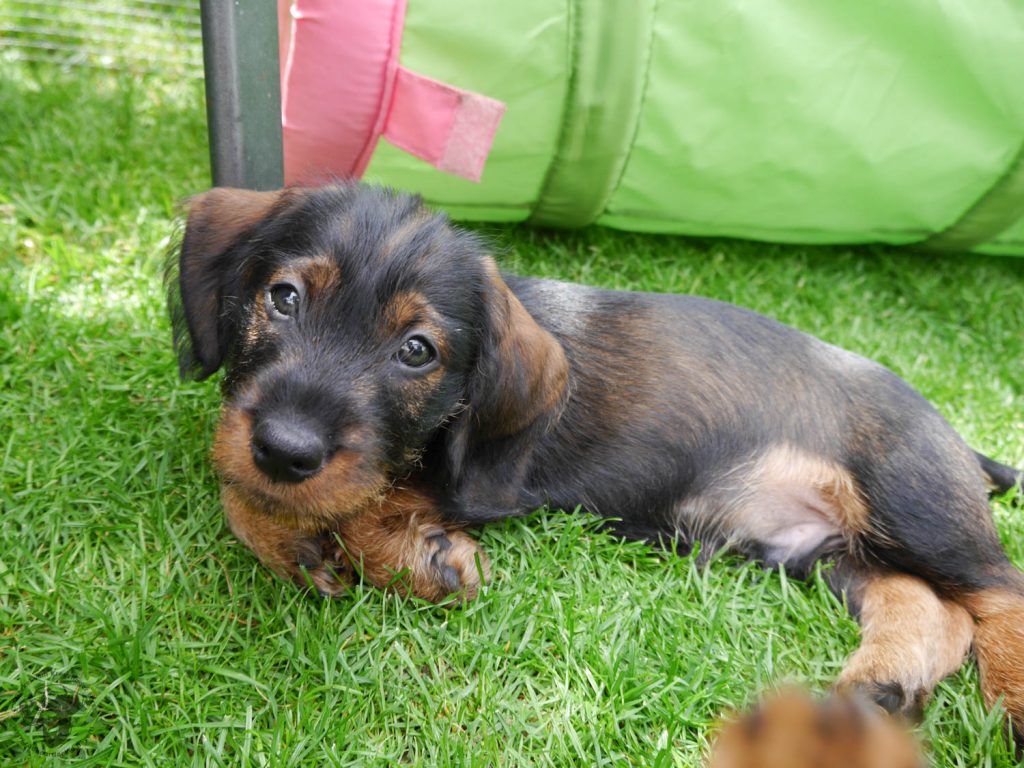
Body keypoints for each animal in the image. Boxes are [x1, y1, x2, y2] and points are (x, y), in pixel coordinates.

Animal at [169, 183, 1024, 749]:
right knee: (930, 606)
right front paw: (292, 533)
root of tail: (954, 438)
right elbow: (237, 483)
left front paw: (417, 557)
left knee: (999, 591)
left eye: (417, 351)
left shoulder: (477, 481)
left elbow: (360, 493)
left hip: (910, 497)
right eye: (283, 297)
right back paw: (880, 688)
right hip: (821, 551)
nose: (285, 446)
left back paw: (1009, 704)